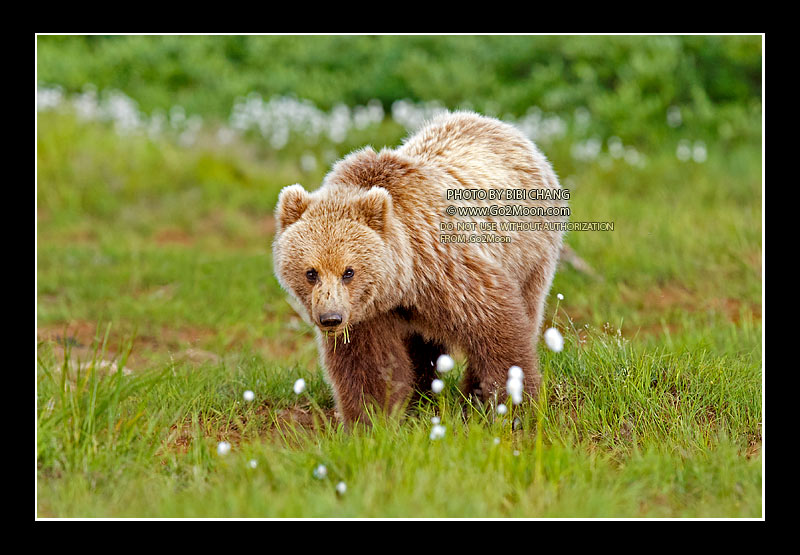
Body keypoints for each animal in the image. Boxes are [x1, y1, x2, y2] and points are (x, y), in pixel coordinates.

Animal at [272, 111, 567, 426]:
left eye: (348, 272)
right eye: (311, 272)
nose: (330, 318)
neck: (401, 281)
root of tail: (503, 127)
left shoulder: (444, 267)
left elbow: (496, 324)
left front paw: (512, 403)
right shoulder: (367, 314)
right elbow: (368, 364)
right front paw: (371, 420)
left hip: (530, 252)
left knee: (528, 305)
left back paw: (469, 393)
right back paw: (423, 395)